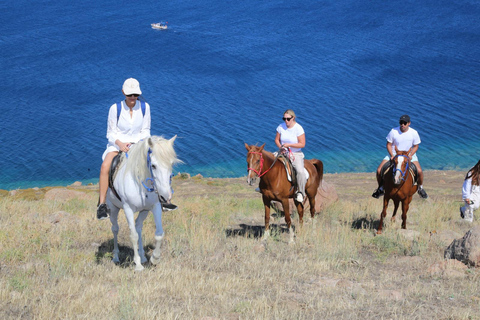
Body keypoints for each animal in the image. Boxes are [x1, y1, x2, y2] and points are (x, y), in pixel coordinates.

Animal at [106, 134, 179, 272]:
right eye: (153, 166)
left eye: (171, 163)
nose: (166, 197)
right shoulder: (128, 208)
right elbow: (133, 235)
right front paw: (138, 265)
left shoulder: (155, 206)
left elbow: (159, 233)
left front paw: (154, 258)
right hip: (113, 208)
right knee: (115, 229)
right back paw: (116, 257)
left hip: (144, 211)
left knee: (139, 226)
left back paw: (143, 256)